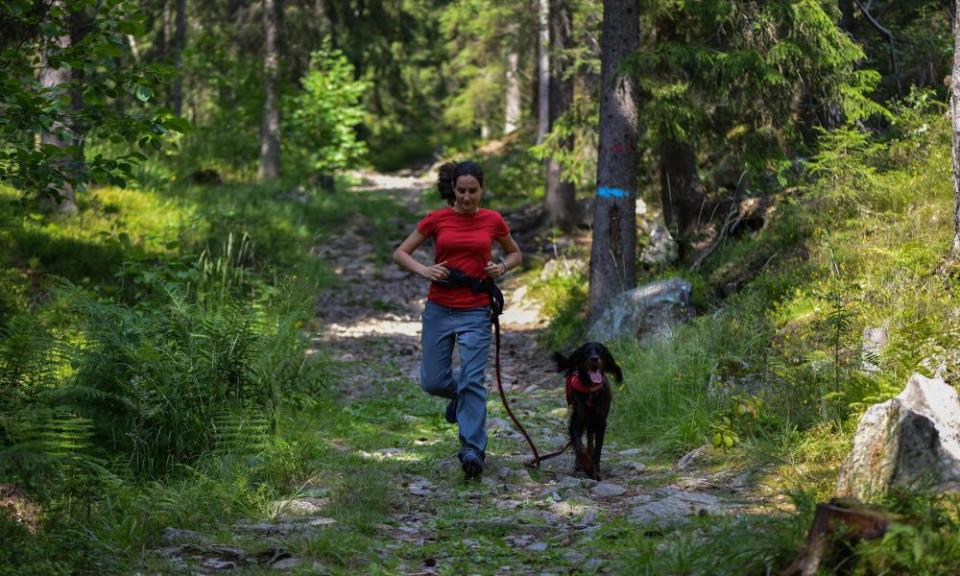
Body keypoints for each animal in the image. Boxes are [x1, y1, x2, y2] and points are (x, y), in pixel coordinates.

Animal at [556, 344, 624, 480]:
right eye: (586, 352)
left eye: (600, 350)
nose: (594, 358)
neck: (591, 393)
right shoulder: (576, 422)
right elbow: (579, 447)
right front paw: (587, 466)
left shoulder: (601, 423)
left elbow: (597, 449)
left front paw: (596, 472)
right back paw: (579, 466)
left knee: (590, 440)